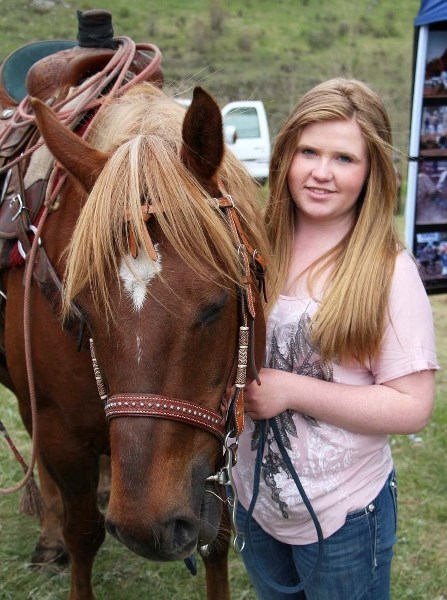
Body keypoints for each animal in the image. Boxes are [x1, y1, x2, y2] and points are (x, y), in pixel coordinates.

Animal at [0, 52, 268, 600]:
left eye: (216, 305)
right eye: (82, 310)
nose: (148, 527)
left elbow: (218, 539)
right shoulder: (61, 433)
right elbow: (83, 534)